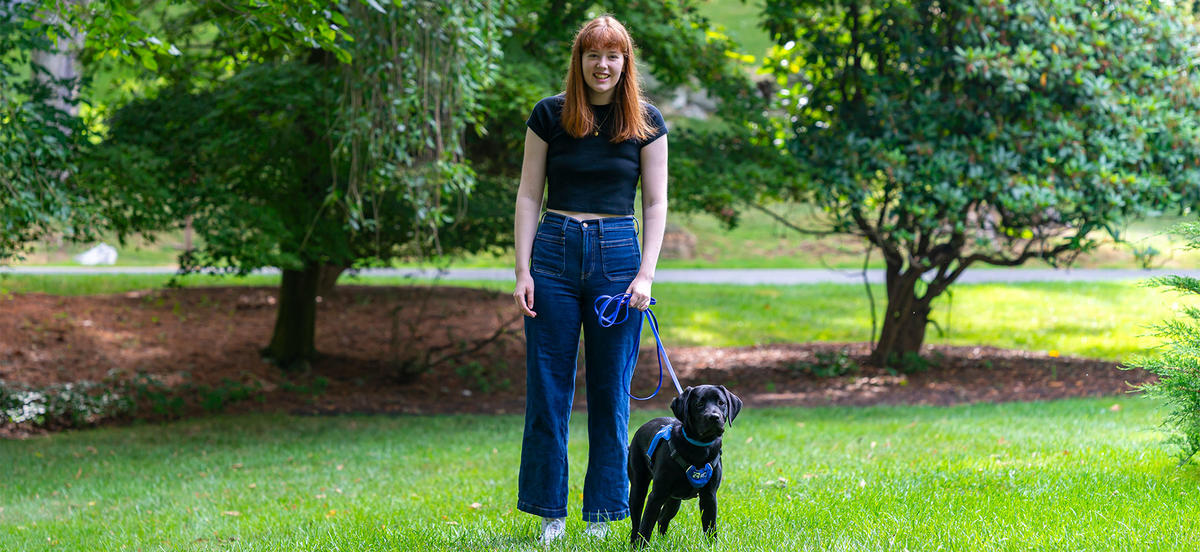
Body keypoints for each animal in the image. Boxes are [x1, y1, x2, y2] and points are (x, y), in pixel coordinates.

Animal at [628, 386, 739, 544]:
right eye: (699, 404)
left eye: (721, 403)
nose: (714, 417)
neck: (699, 448)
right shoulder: (656, 495)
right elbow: (645, 528)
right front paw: (640, 547)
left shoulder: (709, 496)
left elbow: (710, 528)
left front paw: (712, 546)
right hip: (639, 488)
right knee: (637, 523)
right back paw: (633, 543)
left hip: (674, 500)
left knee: (662, 518)